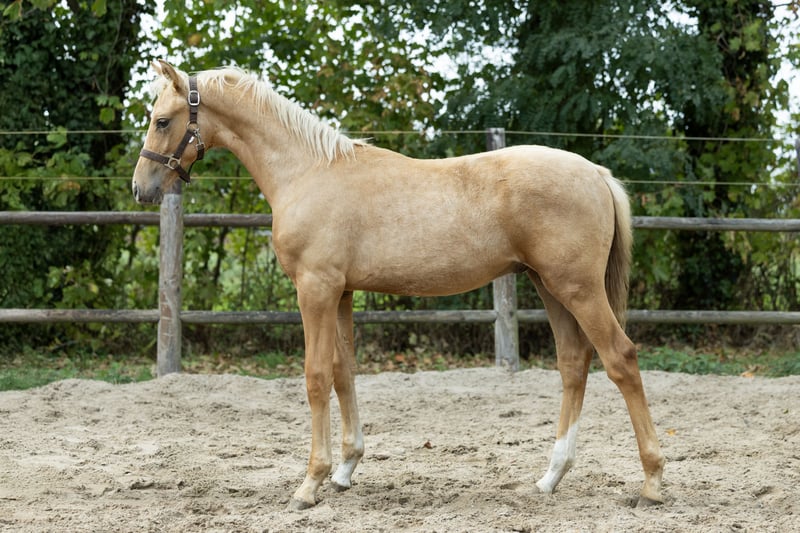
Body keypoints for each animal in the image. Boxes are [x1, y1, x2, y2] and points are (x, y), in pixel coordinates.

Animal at [132, 60, 665, 510]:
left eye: (163, 120)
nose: (142, 188)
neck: (306, 171)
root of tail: (595, 173)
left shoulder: (315, 290)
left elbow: (316, 377)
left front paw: (310, 483)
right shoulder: (341, 293)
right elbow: (343, 371)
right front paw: (345, 470)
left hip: (577, 288)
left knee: (620, 358)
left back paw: (652, 482)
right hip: (550, 287)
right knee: (574, 365)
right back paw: (550, 478)